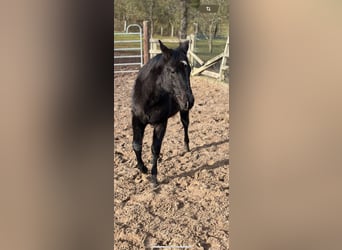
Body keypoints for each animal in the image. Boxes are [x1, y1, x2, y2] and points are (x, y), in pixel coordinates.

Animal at [132, 39, 195, 188]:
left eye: (189, 70)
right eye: (172, 71)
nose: (189, 101)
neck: (148, 99)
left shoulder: (160, 123)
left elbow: (155, 149)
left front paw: (154, 178)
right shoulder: (136, 119)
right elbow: (136, 144)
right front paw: (142, 168)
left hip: (183, 112)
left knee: (185, 125)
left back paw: (186, 146)